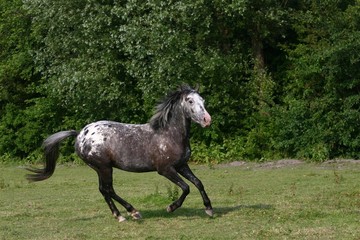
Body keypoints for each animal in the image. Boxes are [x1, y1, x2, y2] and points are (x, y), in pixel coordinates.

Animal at [28, 85, 215, 222]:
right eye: (190, 101)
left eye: (203, 100)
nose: (207, 120)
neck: (170, 134)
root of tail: (80, 133)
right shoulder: (165, 169)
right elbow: (186, 187)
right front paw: (171, 207)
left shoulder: (182, 165)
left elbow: (198, 183)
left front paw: (209, 209)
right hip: (104, 167)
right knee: (108, 189)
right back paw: (133, 212)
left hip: (100, 168)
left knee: (103, 190)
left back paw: (119, 216)